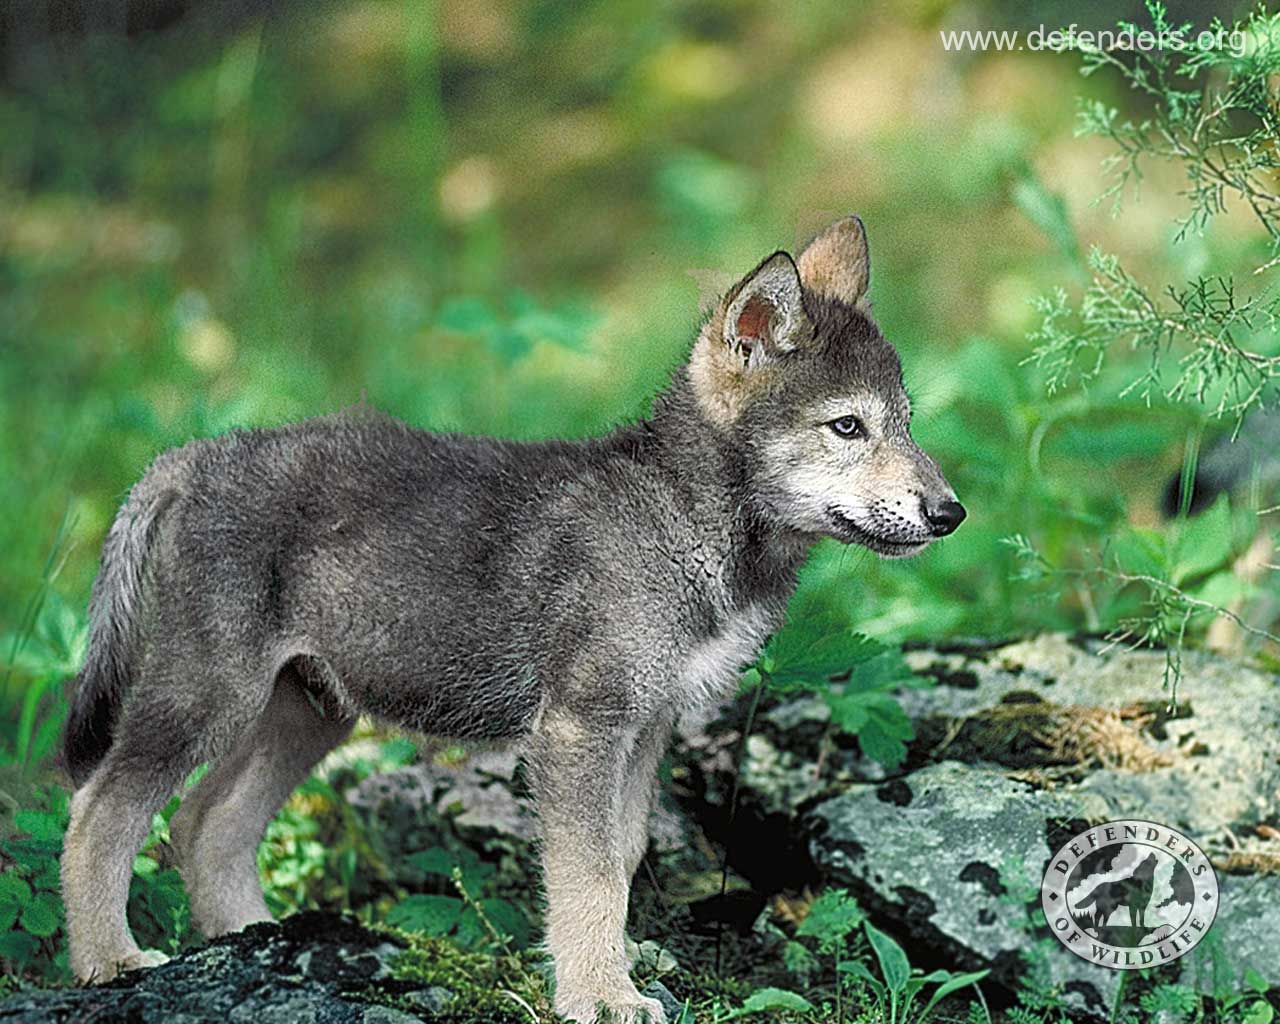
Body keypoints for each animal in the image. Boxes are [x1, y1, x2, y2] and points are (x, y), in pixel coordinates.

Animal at [60, 216, 964, 1023]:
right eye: (847, 426)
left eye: (908, 422)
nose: (950, 512)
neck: (684, 523)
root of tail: (195, 456)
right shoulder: (580, 729)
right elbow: (587, 875)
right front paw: (601, 997)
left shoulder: (646, 726)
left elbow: (621, 860)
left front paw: (620, 966)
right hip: (208, 692)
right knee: (100, 810)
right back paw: (109, 960)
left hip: (309, 707)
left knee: (205, 822)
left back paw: (255, 939)